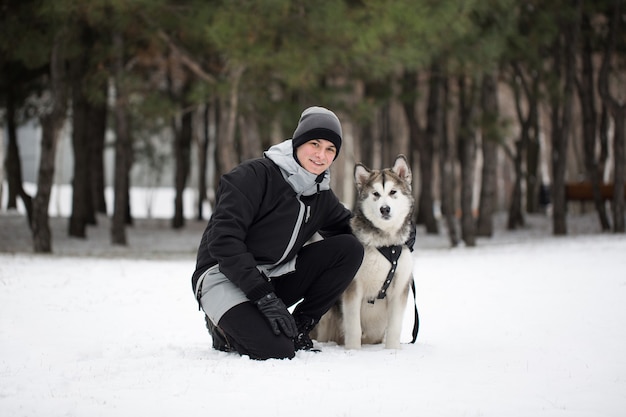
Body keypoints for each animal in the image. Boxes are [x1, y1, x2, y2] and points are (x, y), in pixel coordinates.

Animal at [312, 153, 414, 348]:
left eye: (393, 192)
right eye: (376, 194)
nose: (384, 209)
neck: (385, 244)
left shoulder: (399, 288)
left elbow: (395, 327)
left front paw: (393, 350)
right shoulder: (353, 287)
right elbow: (354, 327)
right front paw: (353, 350)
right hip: (327, 316)